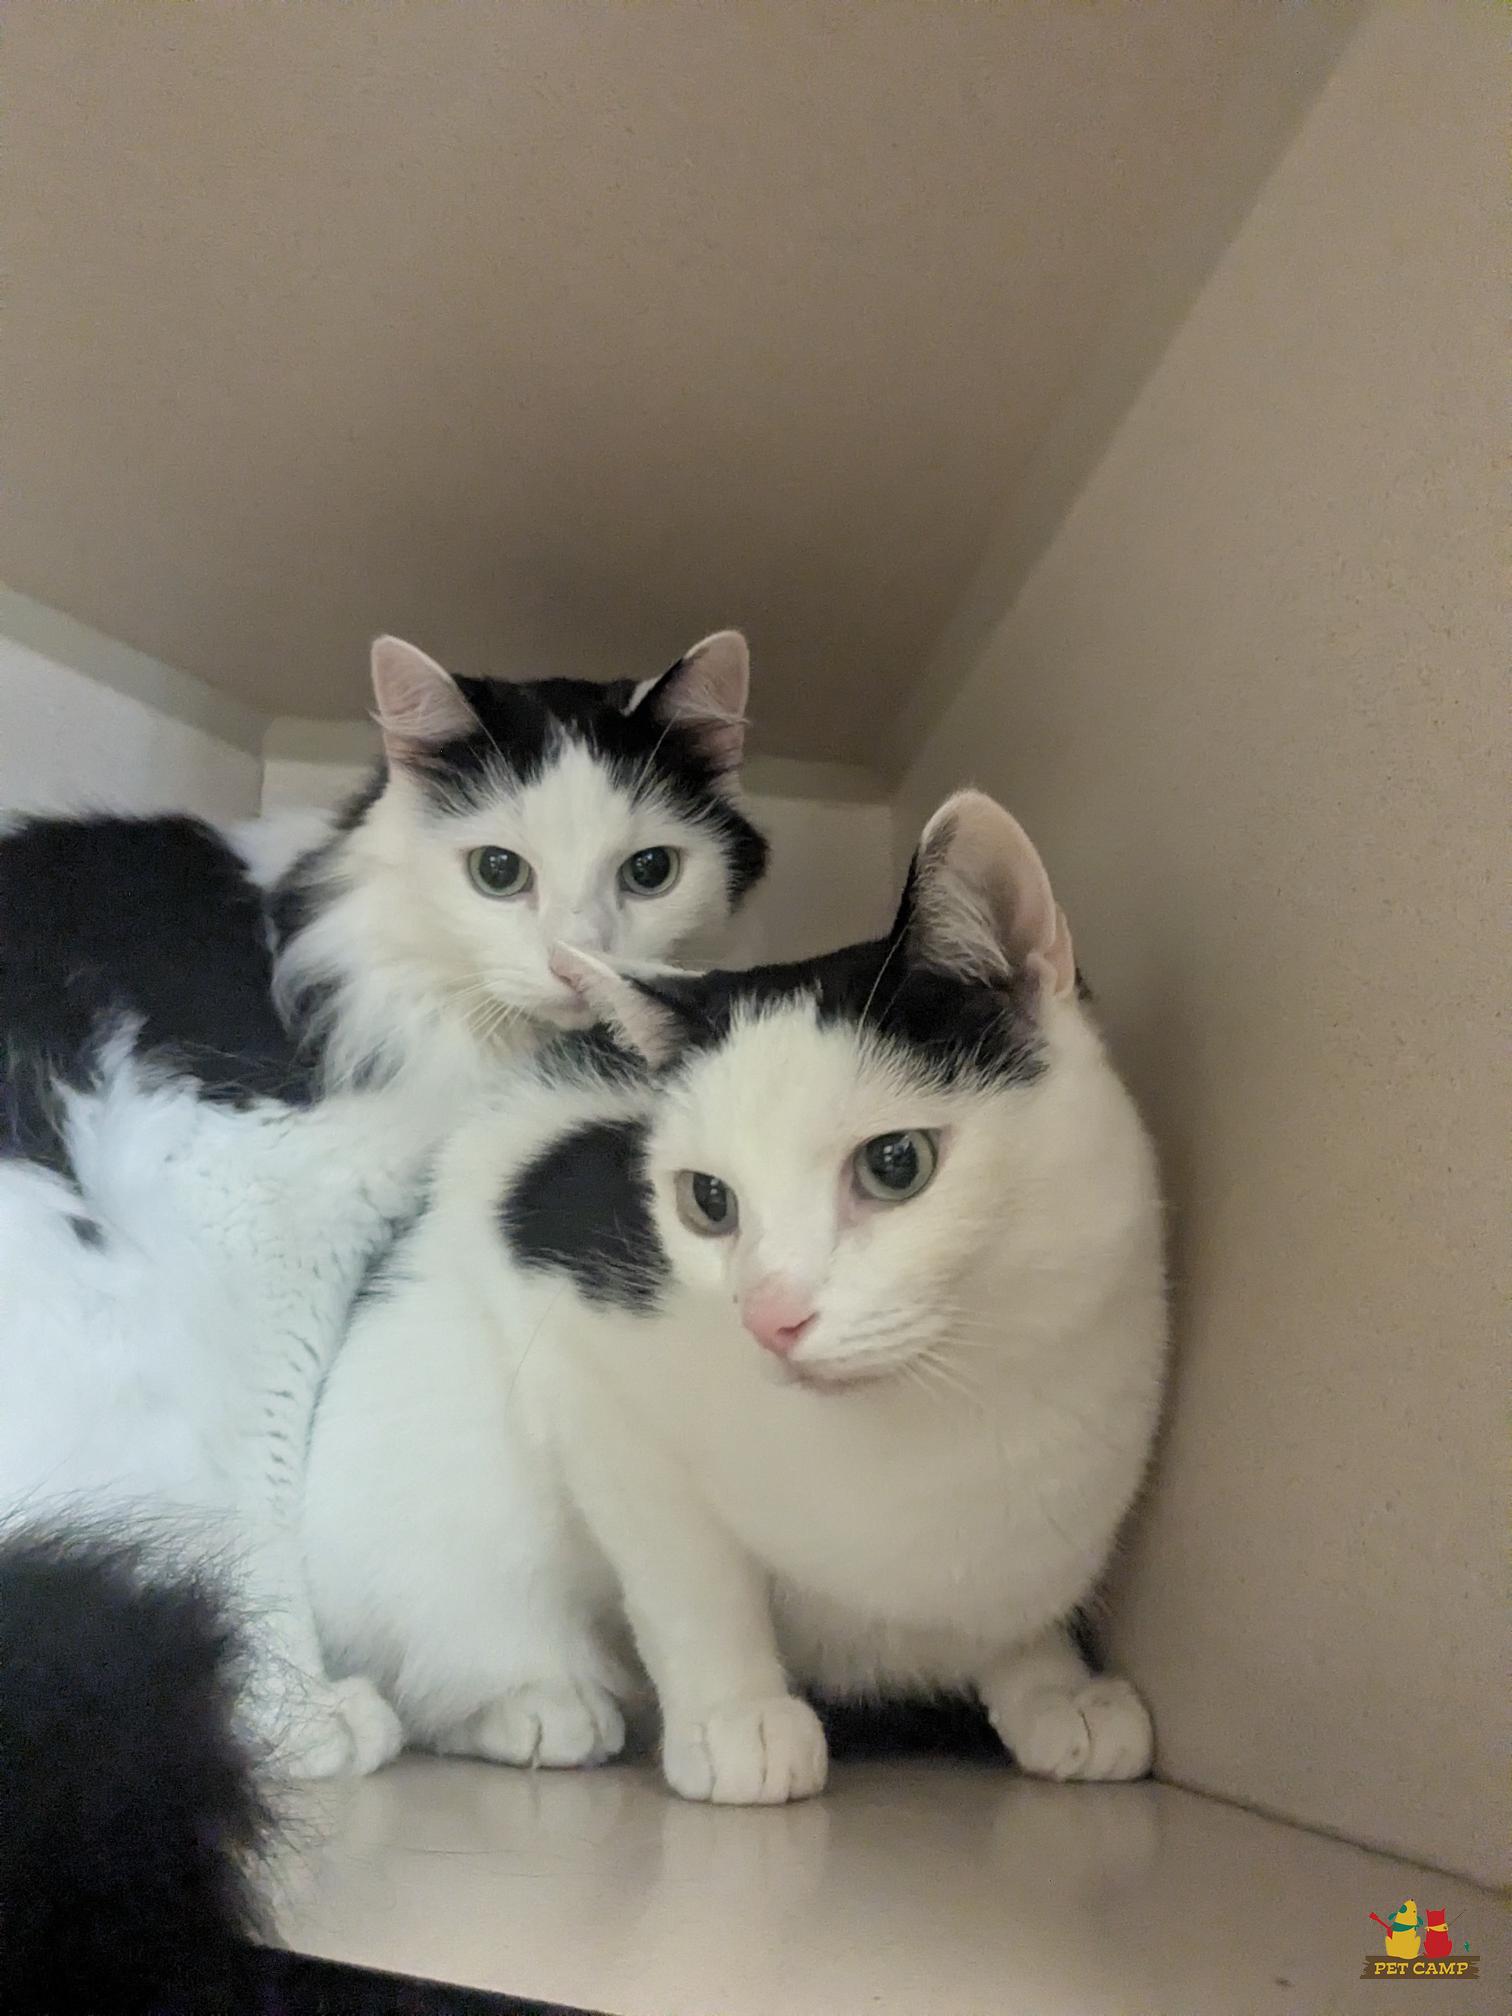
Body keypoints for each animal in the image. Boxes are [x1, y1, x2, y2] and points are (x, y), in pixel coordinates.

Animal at [0, 628, 765, 1778]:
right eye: (498, 872)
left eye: (650, 871)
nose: (577, 966)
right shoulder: (246, 1221)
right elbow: (260, 1496)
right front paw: (290, 1714)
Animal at [305, 788, 1166, 1801]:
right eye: (708, 1201)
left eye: (896, 1163)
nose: (768, 1316)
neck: (946, 1404)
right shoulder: (582, 1361)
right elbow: (690, 1575)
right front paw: (735, 1715)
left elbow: (1012, 1603)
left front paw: (1054, 1685)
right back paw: (537, 1702)